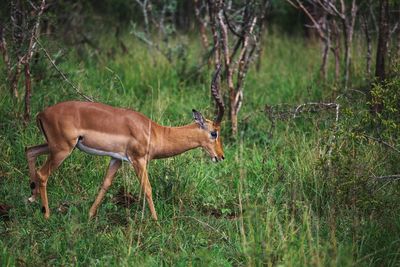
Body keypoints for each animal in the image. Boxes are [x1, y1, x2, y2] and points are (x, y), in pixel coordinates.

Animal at [25, 66, 225, 220]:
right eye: (214, 133)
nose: (221, 156)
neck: (156, 132)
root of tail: (41, 114)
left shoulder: (117, 159)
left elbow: (105, 184)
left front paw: (90, 215)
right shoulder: (138, 160)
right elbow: (147, 189)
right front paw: (156, 221)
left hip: (54, 146)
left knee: (29, 150)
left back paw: (31, 198)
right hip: (62, 150)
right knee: (43, 174)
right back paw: (46, 214)